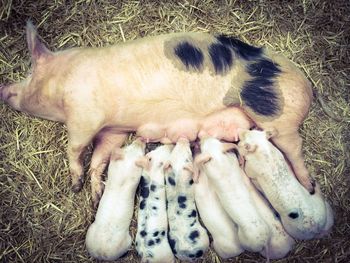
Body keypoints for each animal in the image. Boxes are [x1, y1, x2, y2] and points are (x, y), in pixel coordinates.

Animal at [0, 20, 312, 207]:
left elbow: (75, 148)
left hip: (277, 117)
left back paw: (309, 187)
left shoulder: (84, 115)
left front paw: (75, 186)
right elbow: (100, 156)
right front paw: (95, 195)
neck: (61, 80)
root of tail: (308, 87)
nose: (4, 88)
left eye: (29, 72)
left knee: (295, 148)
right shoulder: (113, 129)